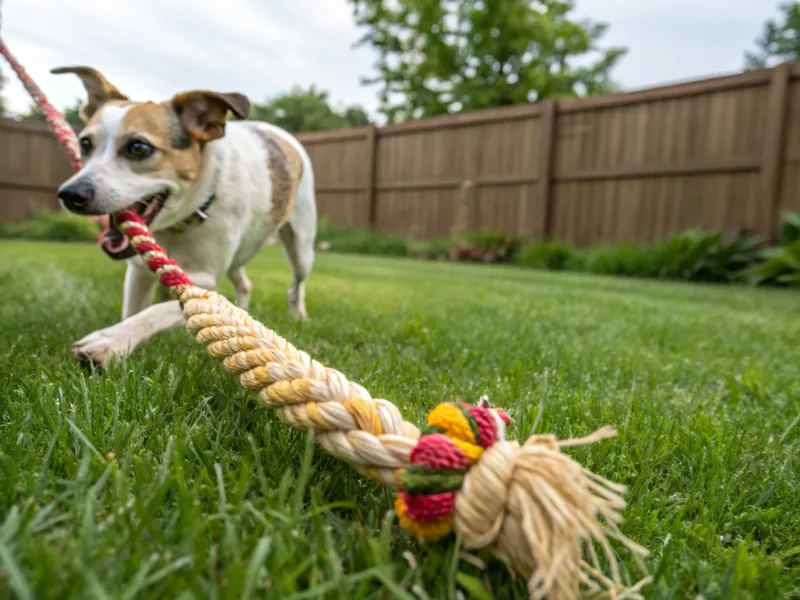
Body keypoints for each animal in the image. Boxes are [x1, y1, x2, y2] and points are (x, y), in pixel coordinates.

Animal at [52, 64, 316, 366]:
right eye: (85, 143)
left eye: (138, 147)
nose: (70, 194)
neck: (185, 218)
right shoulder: (140, 269)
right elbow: (135, 310)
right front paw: (123, 342)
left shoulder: (204, 280)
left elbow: (155, 312)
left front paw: (109, 341)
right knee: (245, 282)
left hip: (301, 247)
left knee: (296, 283)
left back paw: (297, 315)